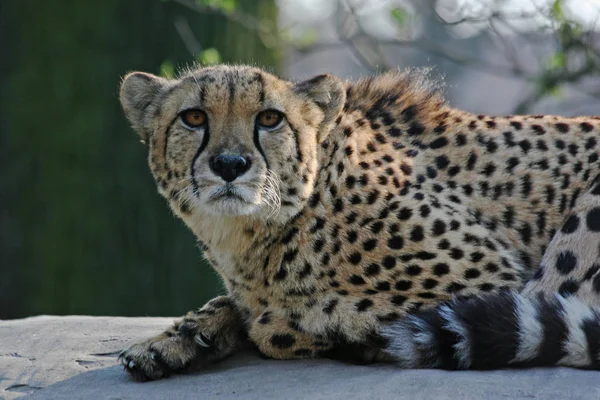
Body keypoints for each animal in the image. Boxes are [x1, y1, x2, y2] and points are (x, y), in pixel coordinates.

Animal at [117, 64, 600, 380]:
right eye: (194, 117)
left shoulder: (489, 280)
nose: (230, 165)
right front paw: (176, 339)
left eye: (269, 118)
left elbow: (279, 323)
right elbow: (233, 305)